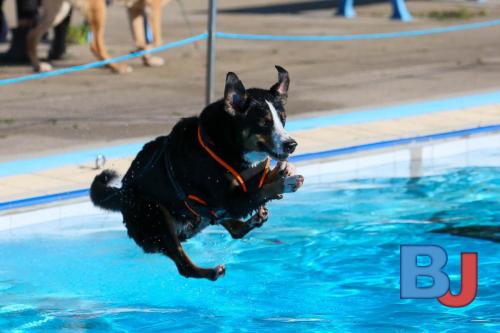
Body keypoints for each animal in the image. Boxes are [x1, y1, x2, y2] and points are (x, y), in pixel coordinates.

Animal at [27, 0, 170, 73]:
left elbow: (140, 37)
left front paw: (148, 59)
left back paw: (38, 66)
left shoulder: (135, 9)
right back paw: (116, 67)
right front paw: (141, 50)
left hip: (59, 11)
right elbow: (157, 41)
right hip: (98, 9)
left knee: (31, 36)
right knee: (95, 45)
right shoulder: (153, 6)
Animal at [90, 66, 304, 278]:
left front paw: (281, 171)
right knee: (184, 266)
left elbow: (261, 183)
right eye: (264, 123)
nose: (291, 144)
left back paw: (254, 220)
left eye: (283, 120)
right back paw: (211, 271)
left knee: (232, 228)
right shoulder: (231, 200)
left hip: (199, 216)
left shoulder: (245, 183)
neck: (229, 147)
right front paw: (286, 182)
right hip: (156, 217)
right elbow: (260, 191)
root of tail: (122, 192)